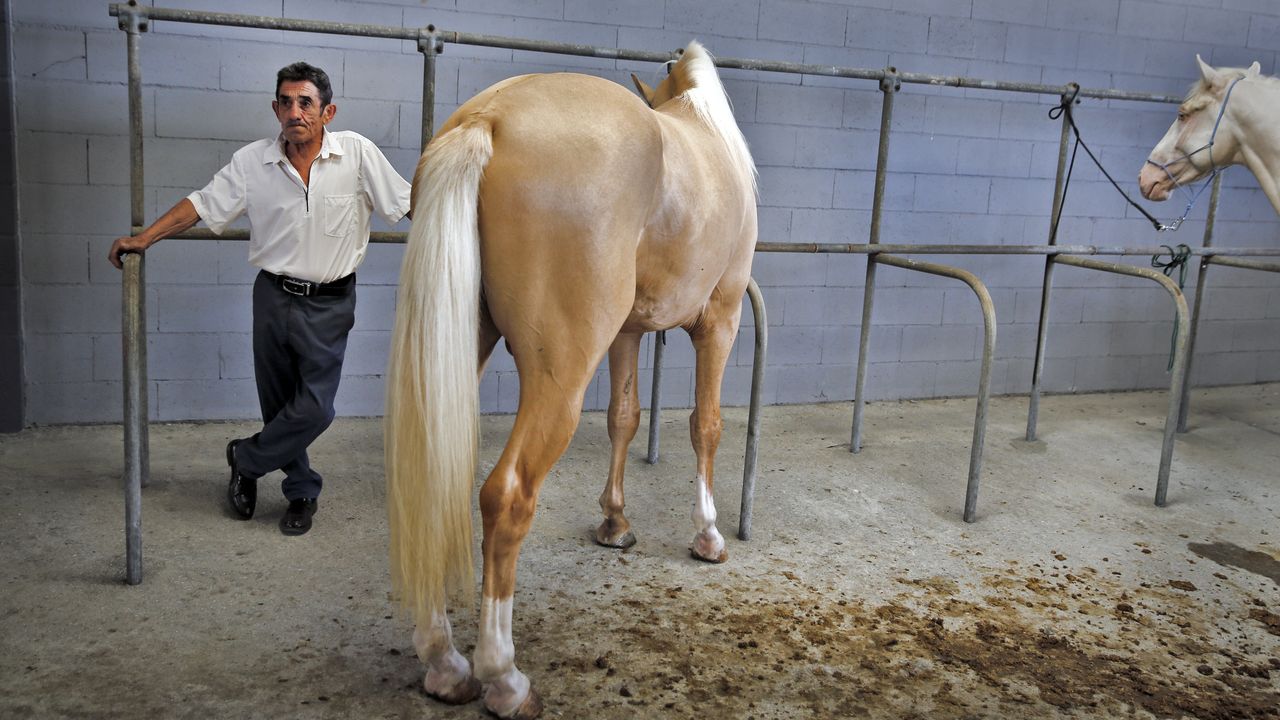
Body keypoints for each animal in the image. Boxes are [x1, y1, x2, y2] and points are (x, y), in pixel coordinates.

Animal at [384, 41, 752, 712]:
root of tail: (489, 119)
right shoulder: (721, 319)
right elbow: (706, 426)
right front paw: (708, 535)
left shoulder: (629, 333)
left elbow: (625, 418)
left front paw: (615, 524)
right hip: (559, 379)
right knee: (506, 497)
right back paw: (503, 677)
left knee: (430, 476)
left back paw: (445, 665)